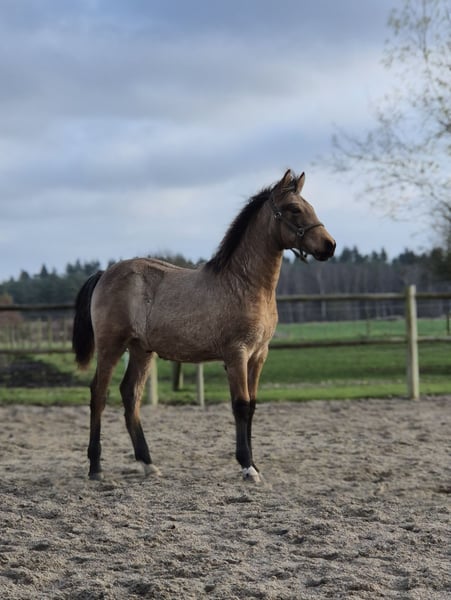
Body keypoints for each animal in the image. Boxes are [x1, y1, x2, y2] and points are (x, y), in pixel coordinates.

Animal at [72, 169, 336, 482]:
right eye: (295, 208)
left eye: (309, 205)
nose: (330, 245)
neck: (243, 284)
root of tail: (104, 273)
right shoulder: (236, 354)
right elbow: (241, 406)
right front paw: (247, 466)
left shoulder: (259, 355)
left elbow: (253, 405)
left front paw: (255, 465)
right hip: (111, 346)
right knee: (99, 394)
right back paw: (95, 467)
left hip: (141, 350)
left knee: (130, 394)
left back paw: (147, 463)